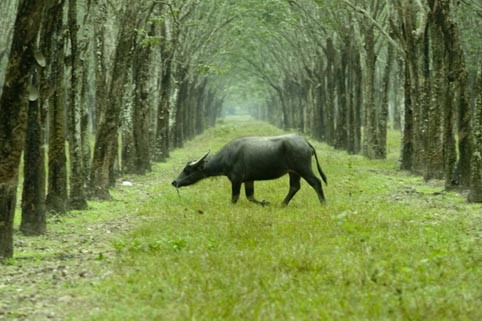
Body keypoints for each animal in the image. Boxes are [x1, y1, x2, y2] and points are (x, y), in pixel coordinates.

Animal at [170, 133, 328, 205]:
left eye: (187, 170)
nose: (174, 182)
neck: (227, 156)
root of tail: (305, 142)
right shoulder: (248, 180)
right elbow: (250, 196)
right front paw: (265, 203)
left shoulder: (236, 180)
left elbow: (235, 198)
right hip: (293, 172)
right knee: (295, 186)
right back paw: (282, 204)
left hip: (303, 168)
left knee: (316, 182)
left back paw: (323, 204)